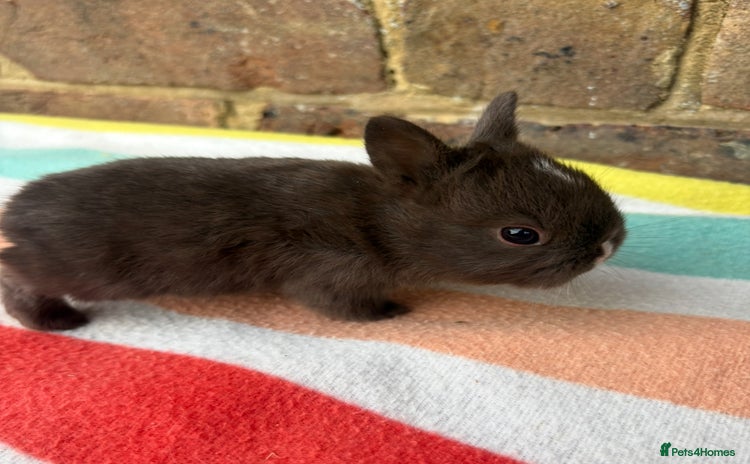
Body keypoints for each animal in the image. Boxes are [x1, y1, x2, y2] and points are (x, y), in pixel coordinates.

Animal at [0, 91, 625, 331]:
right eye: (520, 234)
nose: (610, 242)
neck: (376, 221)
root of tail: (13, 215)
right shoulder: (329, 274)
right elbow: (339, 307)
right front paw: (391, 314)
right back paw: (57, 322)